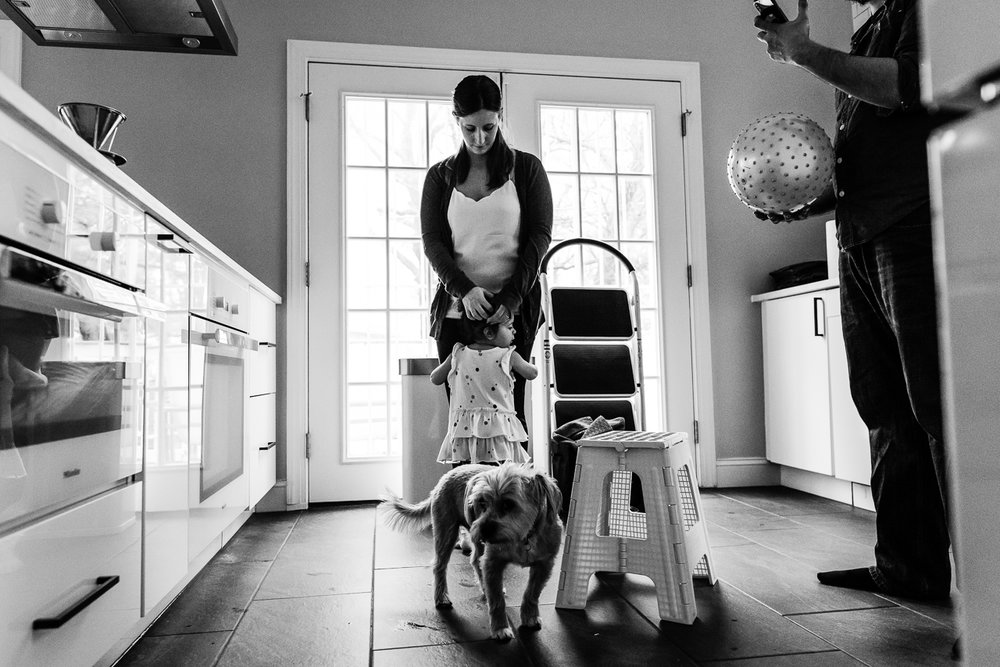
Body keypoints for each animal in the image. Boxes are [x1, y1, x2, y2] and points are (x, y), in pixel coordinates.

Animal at [376, 464, 564, 640]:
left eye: (508, 504)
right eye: (482, 503)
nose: (483, 529)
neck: (524, 537)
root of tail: (445, 477)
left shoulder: (544, 565)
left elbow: (532, 593)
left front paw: (530, 617)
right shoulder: (492, 562)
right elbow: (497, 601)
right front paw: (500, 628)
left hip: (474, 541)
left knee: (475, 560)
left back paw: (483, 587)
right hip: (446, 532)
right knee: (439, 566)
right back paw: (442, 597)